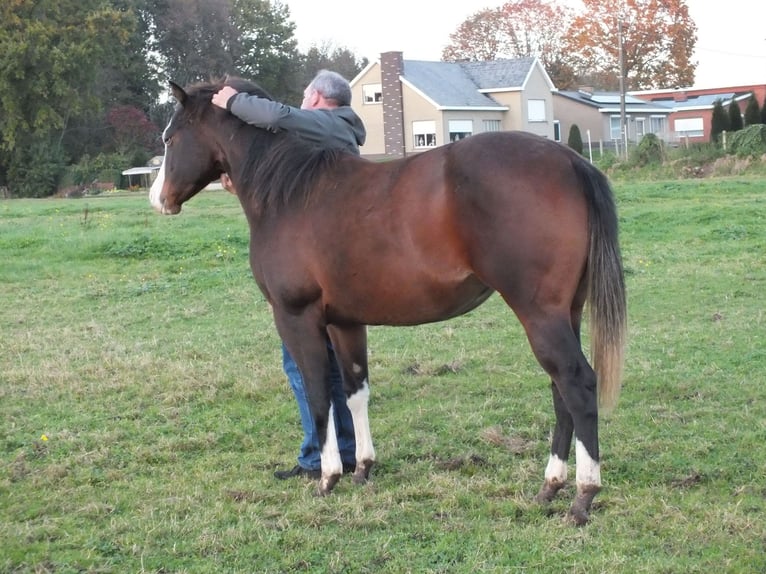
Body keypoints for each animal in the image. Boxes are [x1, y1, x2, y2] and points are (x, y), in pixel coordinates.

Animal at [152, 77, 632, 528]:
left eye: (170, 138)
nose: (158, 199)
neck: (290, 194)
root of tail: (570, 161)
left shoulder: (296, 319)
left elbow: (318, 396)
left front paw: (328, 477)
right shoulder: (345, 323)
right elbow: (354, 392)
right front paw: (362, 468)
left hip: (540, 315)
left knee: (577, 384)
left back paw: (582, 496)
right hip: (565, 313)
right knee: (559, 391)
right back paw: (550, 487)